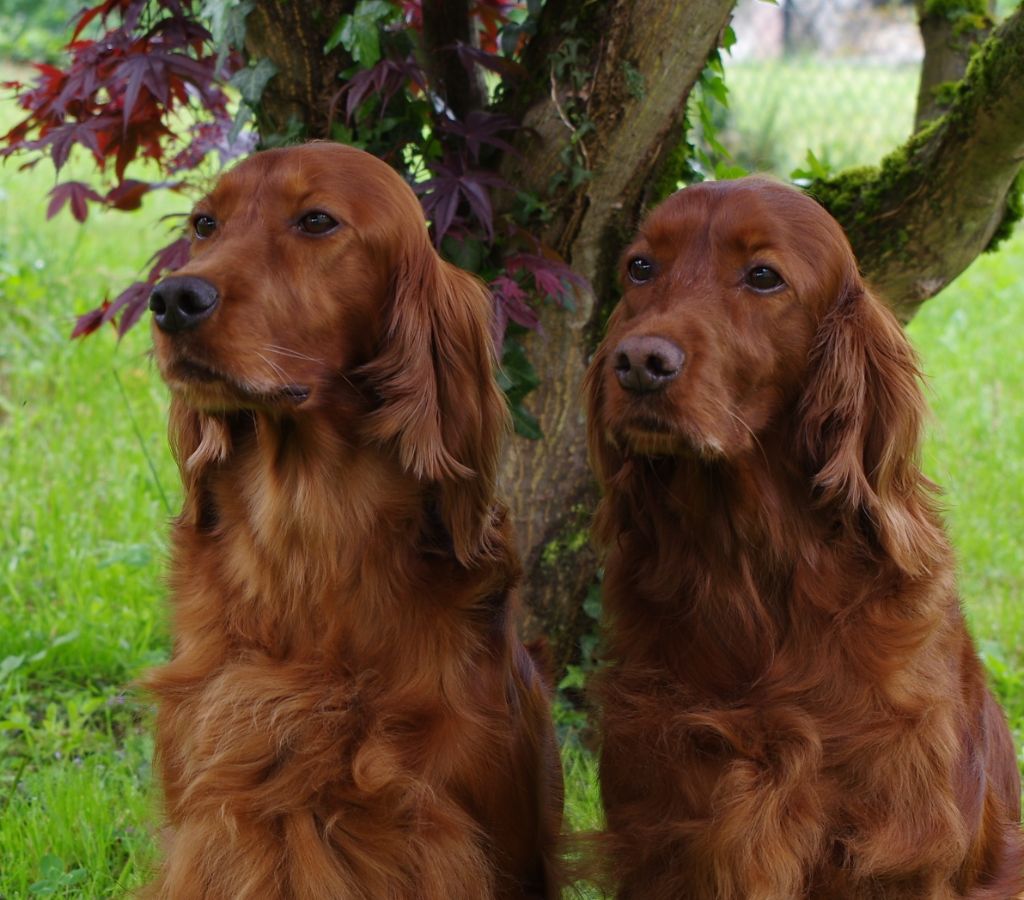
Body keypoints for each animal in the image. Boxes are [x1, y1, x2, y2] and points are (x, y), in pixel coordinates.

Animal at [585, 178, 1024, 900]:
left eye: (764, 276)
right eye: (640, 268)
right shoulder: (666, 825)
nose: (639, 363)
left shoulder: (899, 850)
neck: (752, 577)